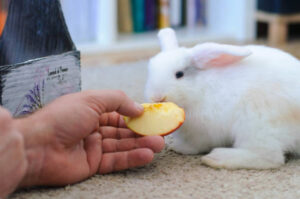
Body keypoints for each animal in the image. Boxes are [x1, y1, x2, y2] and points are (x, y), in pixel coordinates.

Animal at [146, 28, 300, 169]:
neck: (200, 87)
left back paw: (216, 157)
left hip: (255, 125)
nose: (157, 97)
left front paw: (178, 147)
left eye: (179, 74)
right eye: (150, 71)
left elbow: (195, 146)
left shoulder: (202, 132)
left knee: (270, 157)